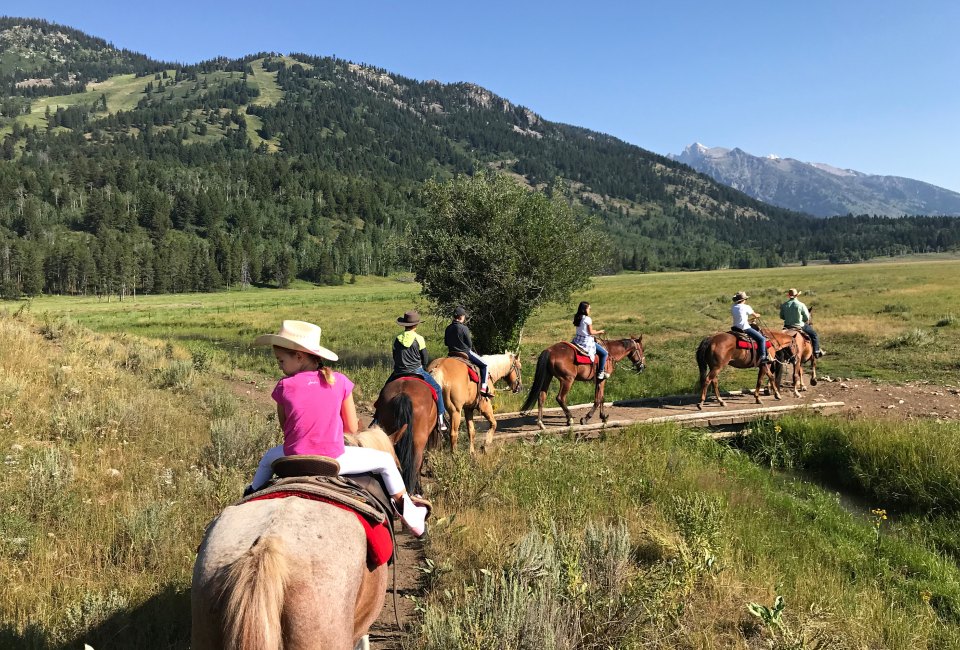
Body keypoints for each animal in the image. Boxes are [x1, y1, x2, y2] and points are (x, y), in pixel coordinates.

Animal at [516, 334, 644, 430]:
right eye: (642, 350)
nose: (642, 366)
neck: (610, 352)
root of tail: (549, 350)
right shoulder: (602, 380)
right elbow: (598, 399)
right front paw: (586, 418)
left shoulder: (598, 381)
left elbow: (600, 398)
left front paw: (603, 417)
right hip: (567, 380)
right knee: (560, 398)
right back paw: (570, 419)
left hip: (548, 377)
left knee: (542, 396)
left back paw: (541, 423)